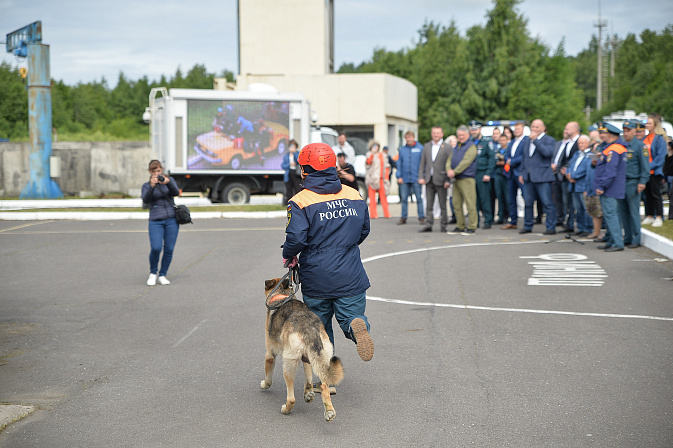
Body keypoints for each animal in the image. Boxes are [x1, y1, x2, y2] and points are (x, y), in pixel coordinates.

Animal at [260, 278, 344, 422]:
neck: (282, 295)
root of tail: (309, 329)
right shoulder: (306, 358)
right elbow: (308, 376)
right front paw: (308, 393)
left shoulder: (270, 355)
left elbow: (268, 377)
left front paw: (264, 384)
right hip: (321, 358)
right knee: (324, 386)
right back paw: (328, 411)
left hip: (288, 364)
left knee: (291, 398)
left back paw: (286, 409)